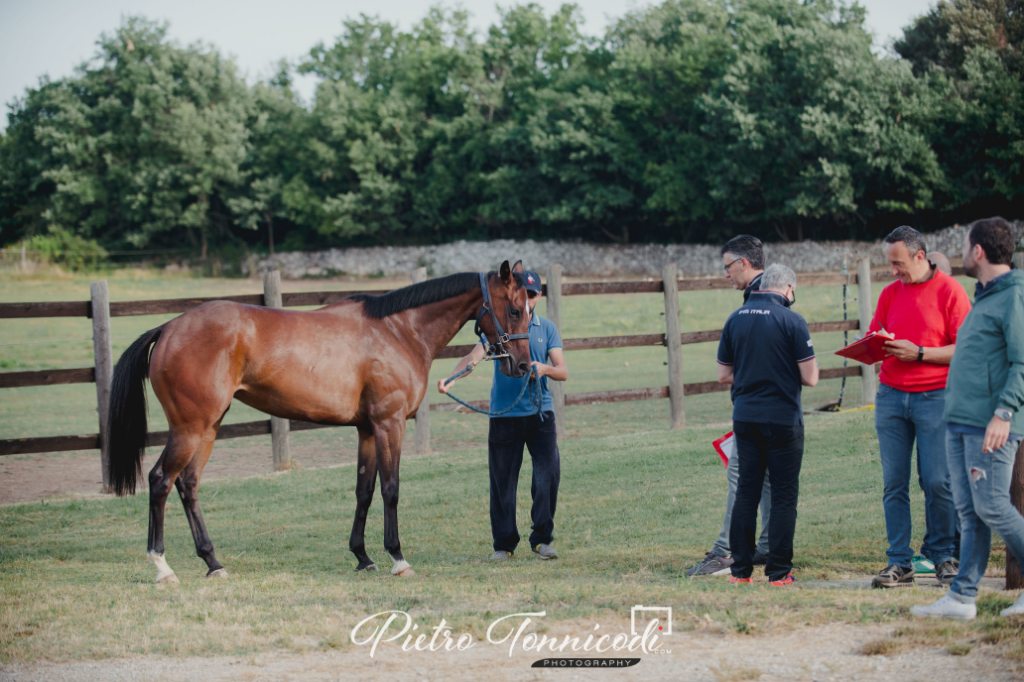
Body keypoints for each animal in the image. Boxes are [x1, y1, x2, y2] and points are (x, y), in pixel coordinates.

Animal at [108, 259, 532, 577]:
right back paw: (162, 567)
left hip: (208, 428)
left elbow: (364, 491)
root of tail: (169, 327)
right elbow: (391, 489)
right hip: (190, 428)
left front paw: (362, 557)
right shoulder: (389, 424)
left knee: (188, 485)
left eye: (530, 311)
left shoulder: (366, 429)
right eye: (514, 310)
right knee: (161, 480)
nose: (523, 365)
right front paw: (397, 557)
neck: (398, 330)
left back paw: (213, 562)